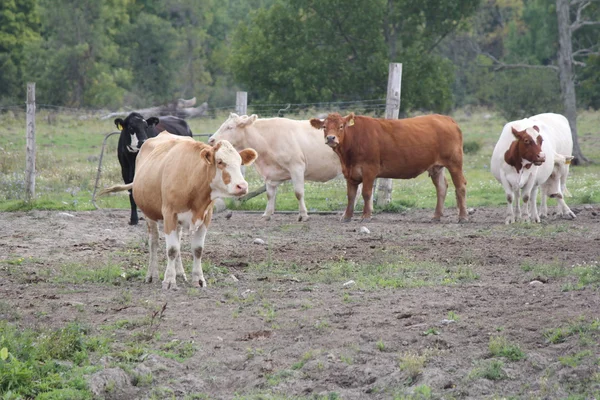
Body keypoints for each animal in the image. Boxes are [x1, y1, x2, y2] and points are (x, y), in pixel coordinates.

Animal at [99, 133, 258, 290]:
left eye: (240, 162)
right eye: (220, 162)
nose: (242, 186)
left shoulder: (206, 217)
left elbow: (197, 249)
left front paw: (198, 279)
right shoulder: (169, 214)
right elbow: (172, 249)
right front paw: (169, 280)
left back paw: (180, 274)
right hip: (149, 214)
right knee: (154, 242)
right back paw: (152, 275)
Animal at [210, 113, 342, 222]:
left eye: (230, 127)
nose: (211, 140)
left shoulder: (297, 167)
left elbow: (298, 193)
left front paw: (303, 215)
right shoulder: (271, 174)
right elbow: (270, 195)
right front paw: (267, 215)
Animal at [310, 112, 468, 222]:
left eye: (341, 126)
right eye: (324, 127)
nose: (331, 138)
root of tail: (446, 118)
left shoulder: (369, 170)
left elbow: (366, 193)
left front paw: (366, 216)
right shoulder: (349, 173)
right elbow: (351, 195)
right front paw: (347, 216)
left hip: (455, 163)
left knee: (460, 186)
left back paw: (463, 216)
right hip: (436, 167)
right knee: (441, 187)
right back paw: (436, 216)